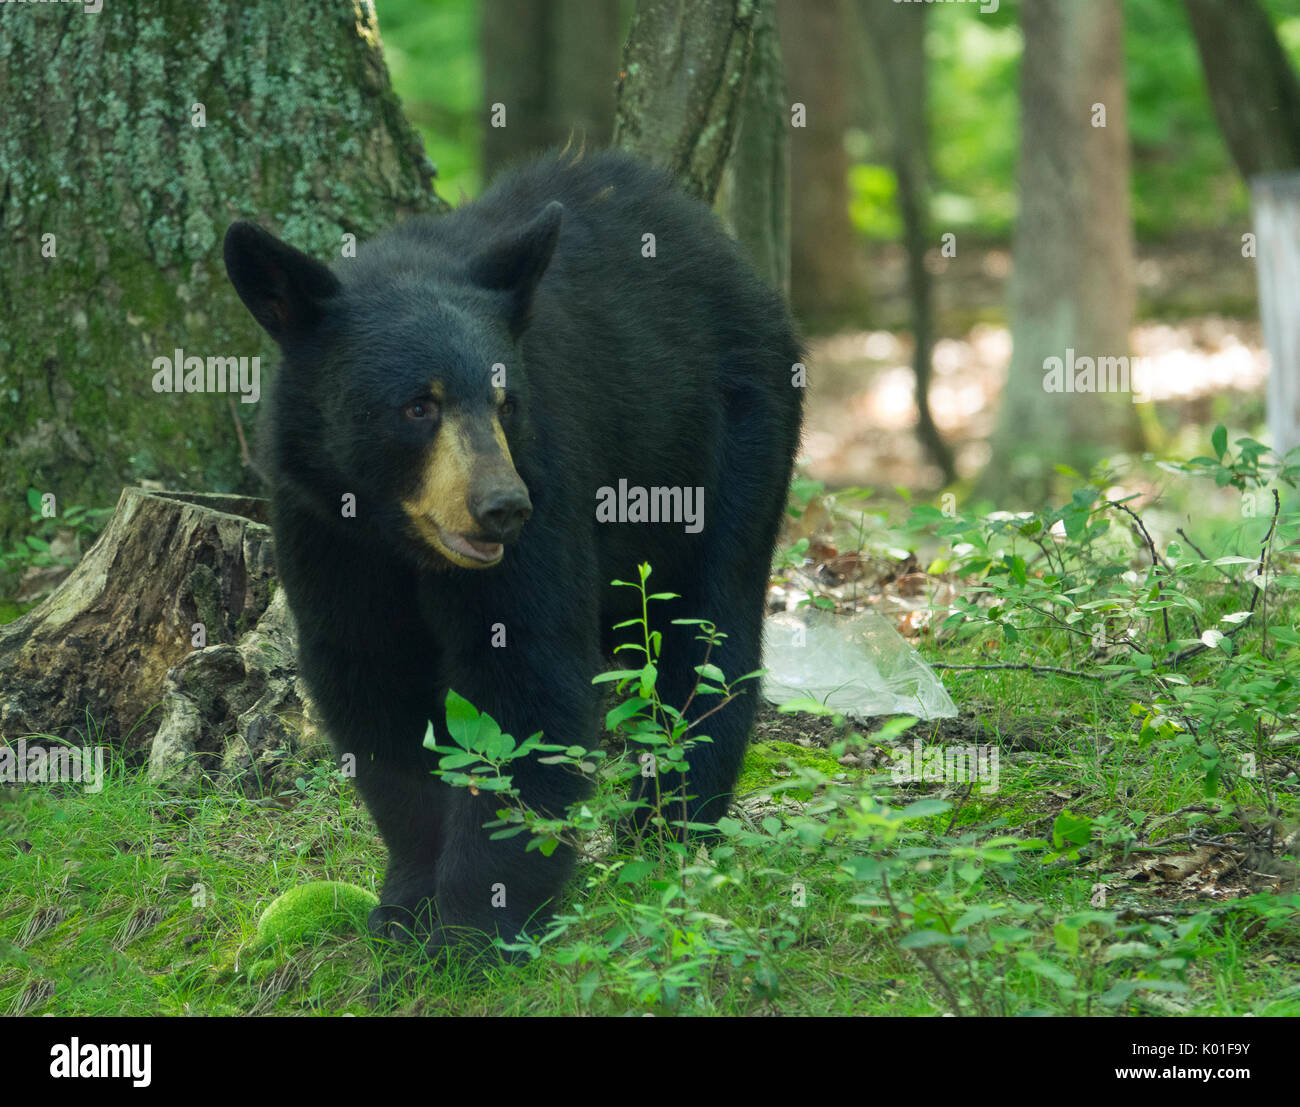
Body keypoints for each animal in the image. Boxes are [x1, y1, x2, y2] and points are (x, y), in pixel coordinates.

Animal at [228, 149, 806, 961]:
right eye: (419, 404)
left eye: (506, 402)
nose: (503, 506)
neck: (399, 536)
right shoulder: (321, 524)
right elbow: (370, 683)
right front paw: (405, 903)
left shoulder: (548, 474)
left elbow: (525, 680)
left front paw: (474, 927)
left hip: (732, 438)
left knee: (711, 627)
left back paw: (668, 822)